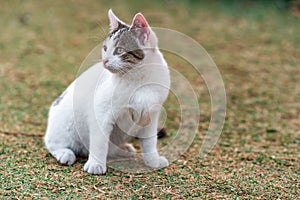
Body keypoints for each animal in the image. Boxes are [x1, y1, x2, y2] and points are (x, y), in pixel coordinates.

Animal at [44, 9, 171, 175]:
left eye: (119, 50)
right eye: (105, 48)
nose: (104, 61)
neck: (137, 79)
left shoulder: (150, 114)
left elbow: (150, 141)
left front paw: (153, 161)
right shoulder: (101, 111)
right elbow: (99, 141)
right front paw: (95, 164)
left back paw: (123, 150)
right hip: (65, 124)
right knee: (53, 143)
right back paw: (65, 154)